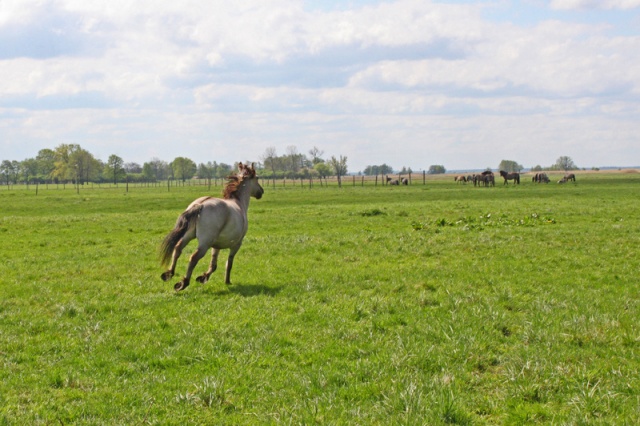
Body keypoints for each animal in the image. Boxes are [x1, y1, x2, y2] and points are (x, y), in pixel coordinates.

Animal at [161, 161, 264, 292]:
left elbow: (213, 265)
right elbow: (229, 263)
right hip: (204, 244)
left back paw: (169, 274)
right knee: (193, 258)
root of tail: (200, 205)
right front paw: (227, 281)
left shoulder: (216, 245)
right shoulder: (236, 244)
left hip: (188, 236)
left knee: (177, 249)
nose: (261, 191)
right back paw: (183, 283)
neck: (239, 203)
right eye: (257, 178)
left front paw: (203, 277)